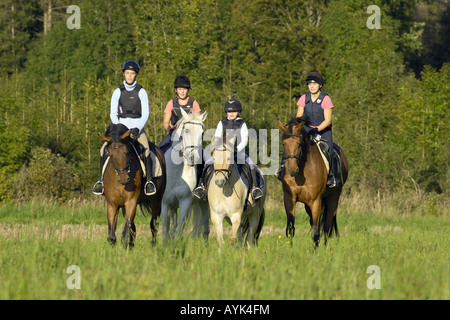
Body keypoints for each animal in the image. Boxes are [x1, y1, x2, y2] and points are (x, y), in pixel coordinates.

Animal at [161, 109, 210, 241]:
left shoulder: (185, 202)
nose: (194, 158)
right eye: (186, 130)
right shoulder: (165, 203)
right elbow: (166, 228)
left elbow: (179, 230)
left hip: (203, 203)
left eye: (202, 133)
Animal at [278, 117, 348, 245]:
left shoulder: (316, 201)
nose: (292, 170)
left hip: (333, 197)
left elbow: (316, 231)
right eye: (283, 143)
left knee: (327, 225)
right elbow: (290, 228)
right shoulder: (289, 198)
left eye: (299, 143)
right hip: (308, 205)